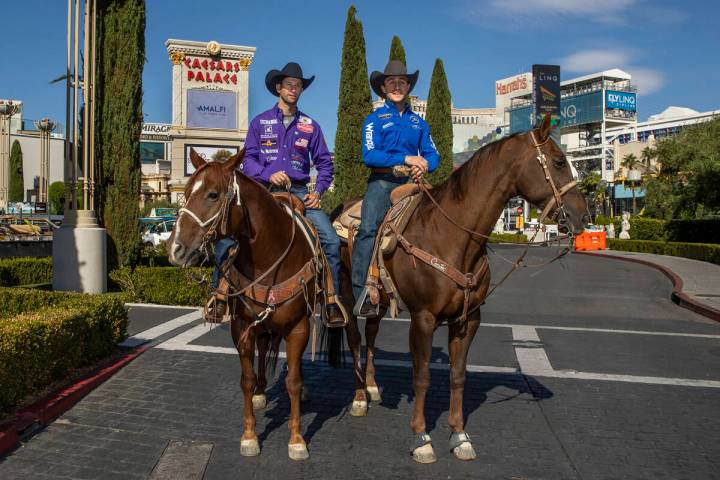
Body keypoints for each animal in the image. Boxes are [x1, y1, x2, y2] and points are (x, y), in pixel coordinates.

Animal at [169, 148, 320, 460]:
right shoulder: (241, 326)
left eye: (213, 194)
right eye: (185, 193)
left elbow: (293, 381)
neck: (270, 256)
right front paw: (250, 436)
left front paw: (297, 439)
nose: (175, 248)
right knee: (262, 350)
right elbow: (246, 379)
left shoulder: (298, 327)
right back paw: (262, 392)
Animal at [340, 114, 588, 464]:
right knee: (354, 339)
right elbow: (422, 376)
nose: (583, 217)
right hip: (347, 292)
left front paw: (459, 436)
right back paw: (360, 397)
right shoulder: (423, 319)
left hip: (380, 298)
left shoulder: (468, 319)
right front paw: (421, 437)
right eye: (558, 161)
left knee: (372, 334)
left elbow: (458, 375)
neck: (450, 235)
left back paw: (373, 388)